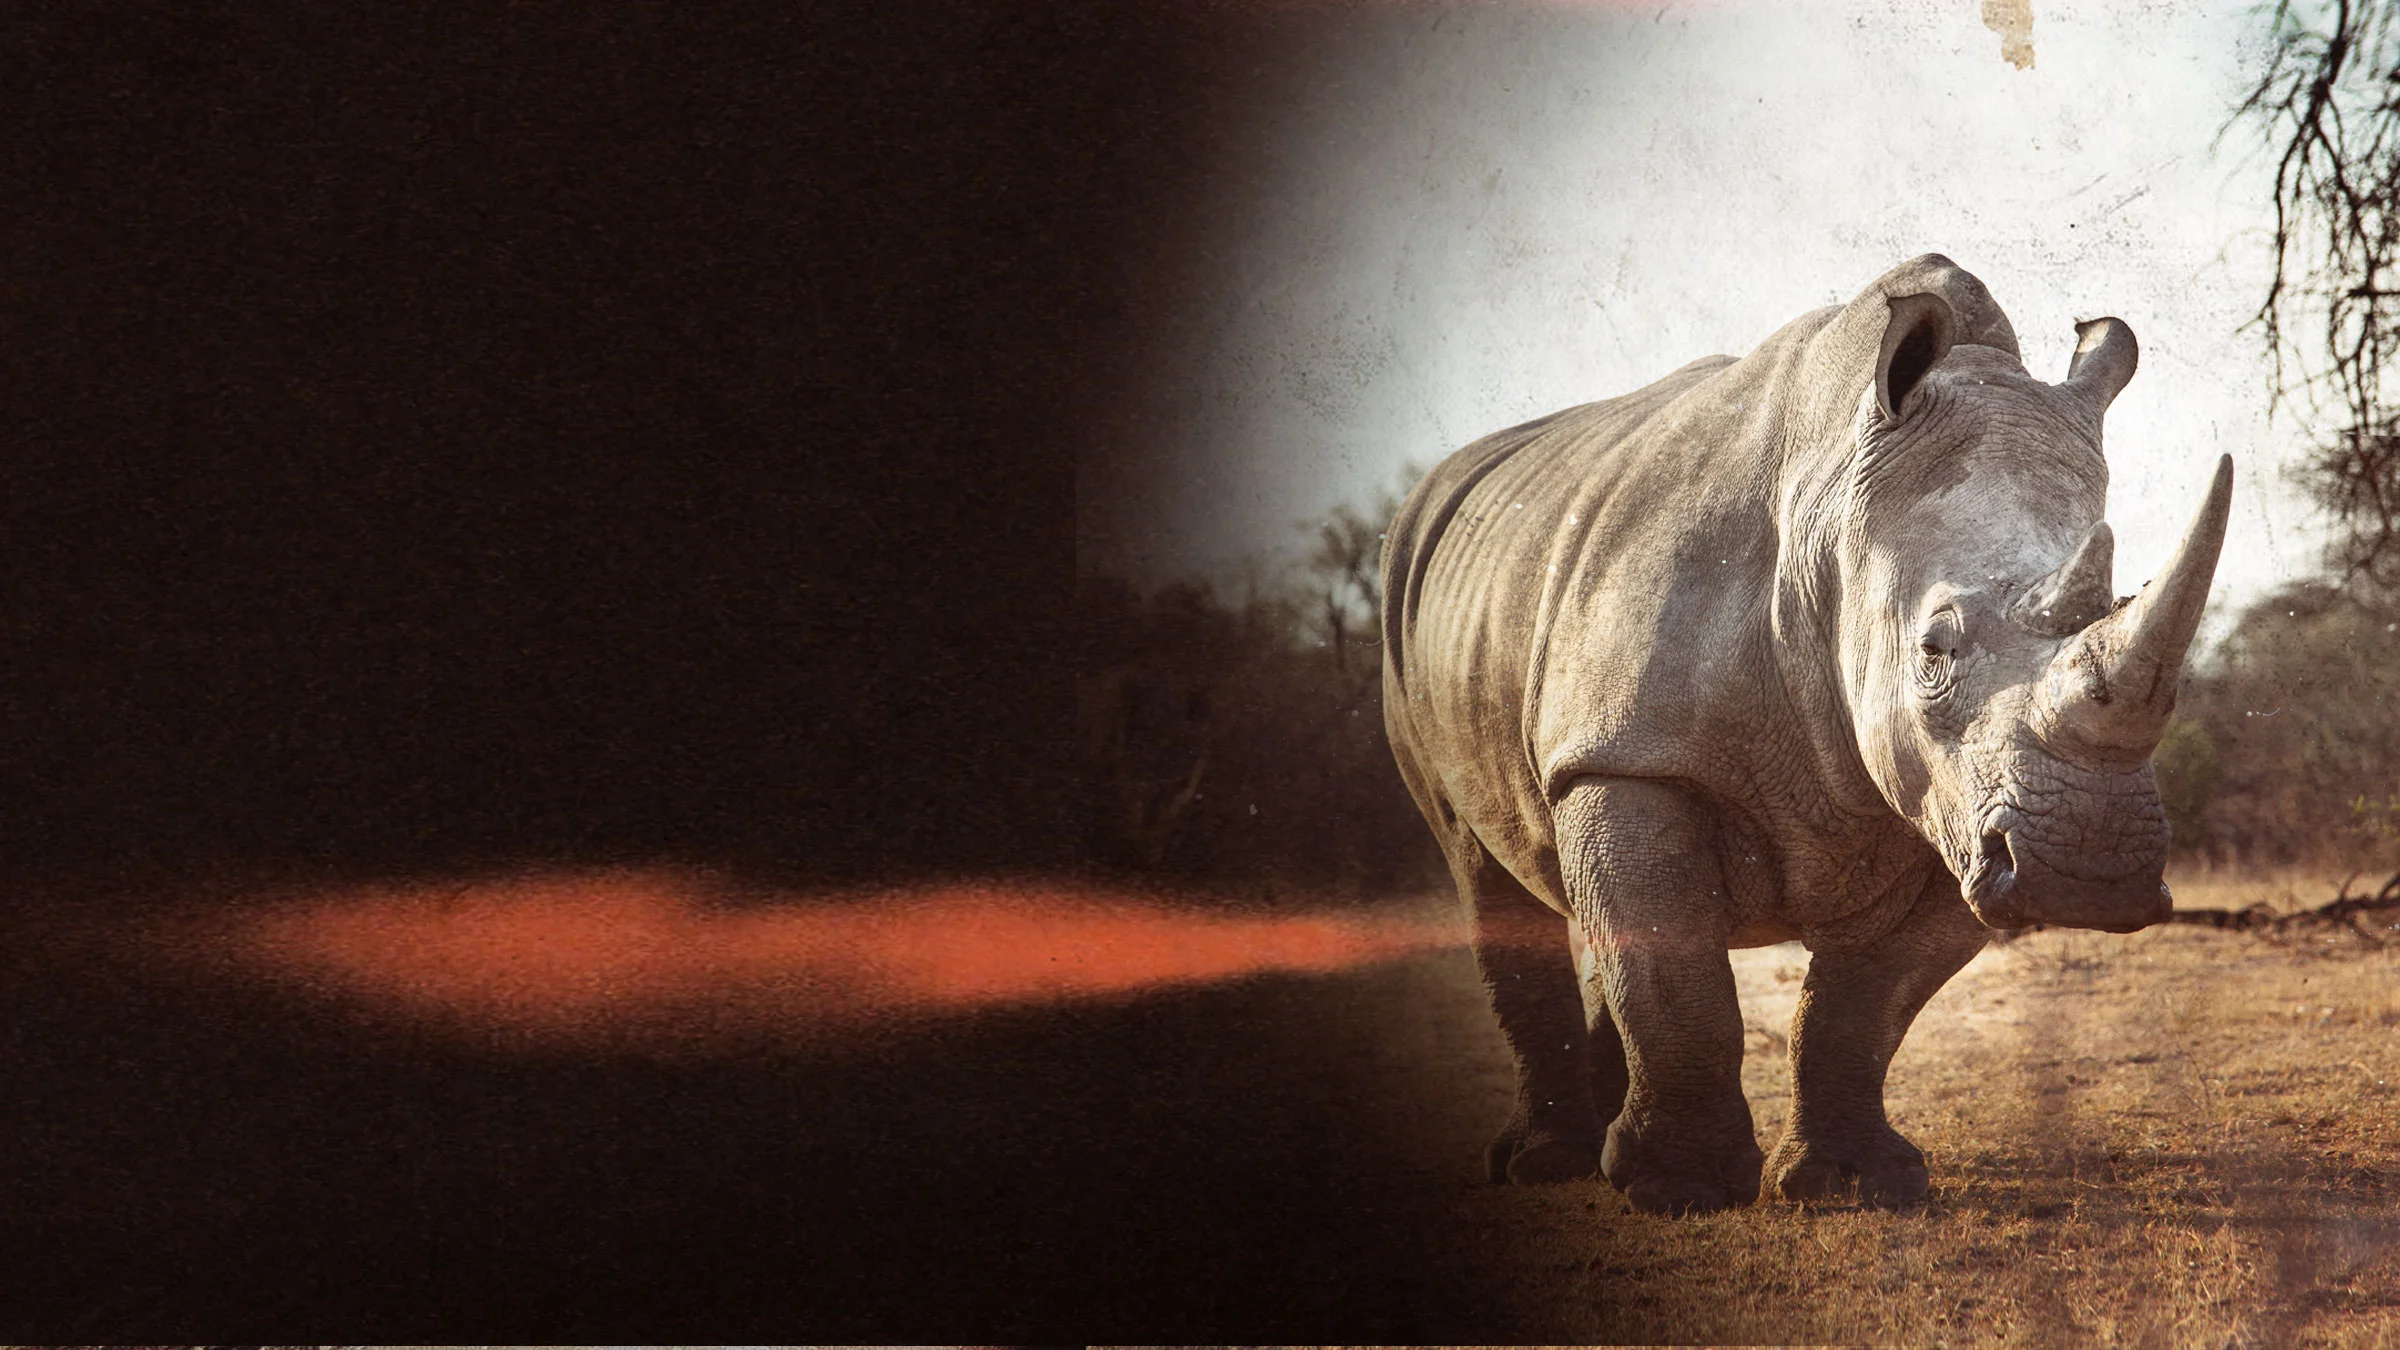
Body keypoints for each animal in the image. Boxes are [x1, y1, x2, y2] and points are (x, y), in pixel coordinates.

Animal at [1380, 255, 2231, 1215]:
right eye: (1933, 651)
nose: (2088, 875)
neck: (1832, 527)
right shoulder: (1627, 756)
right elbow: (1674, 974)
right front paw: (1680, 1189)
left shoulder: (1957, 809)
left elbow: (1858, 1007)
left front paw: (1855, 1183)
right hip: (1416, 624)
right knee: (1479, 860)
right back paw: (1544, 1164)